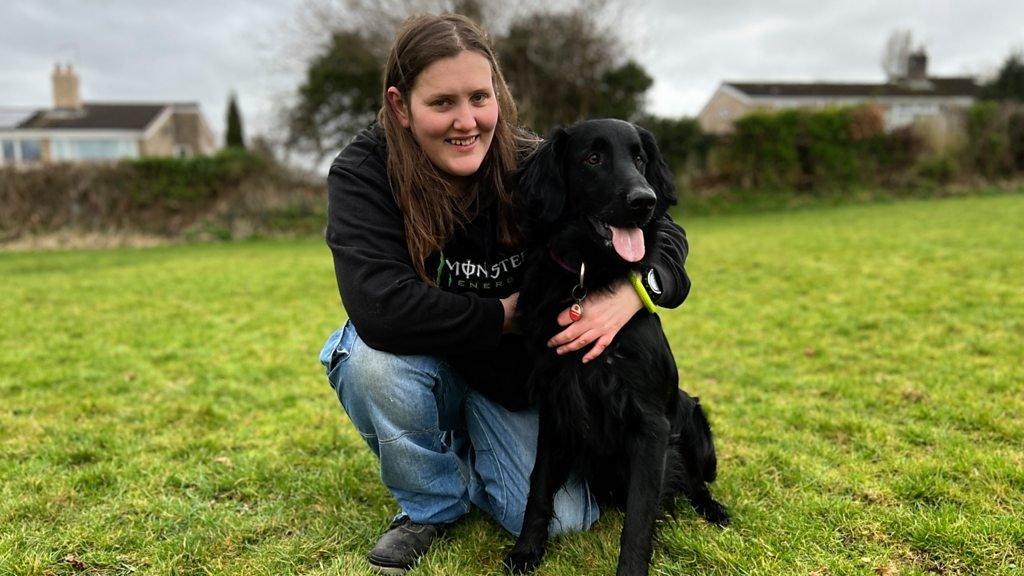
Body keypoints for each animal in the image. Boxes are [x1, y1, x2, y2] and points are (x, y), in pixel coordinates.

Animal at [503, 117, 729, 573]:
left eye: (639, 158)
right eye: (593, 158)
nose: (646, 200)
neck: (587, 279)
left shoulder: (650, 425)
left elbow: (639, 519)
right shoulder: (555, 406)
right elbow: (538, 488)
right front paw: (526, 551)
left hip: (693, 418)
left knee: (697, 483)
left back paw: (712, 509)